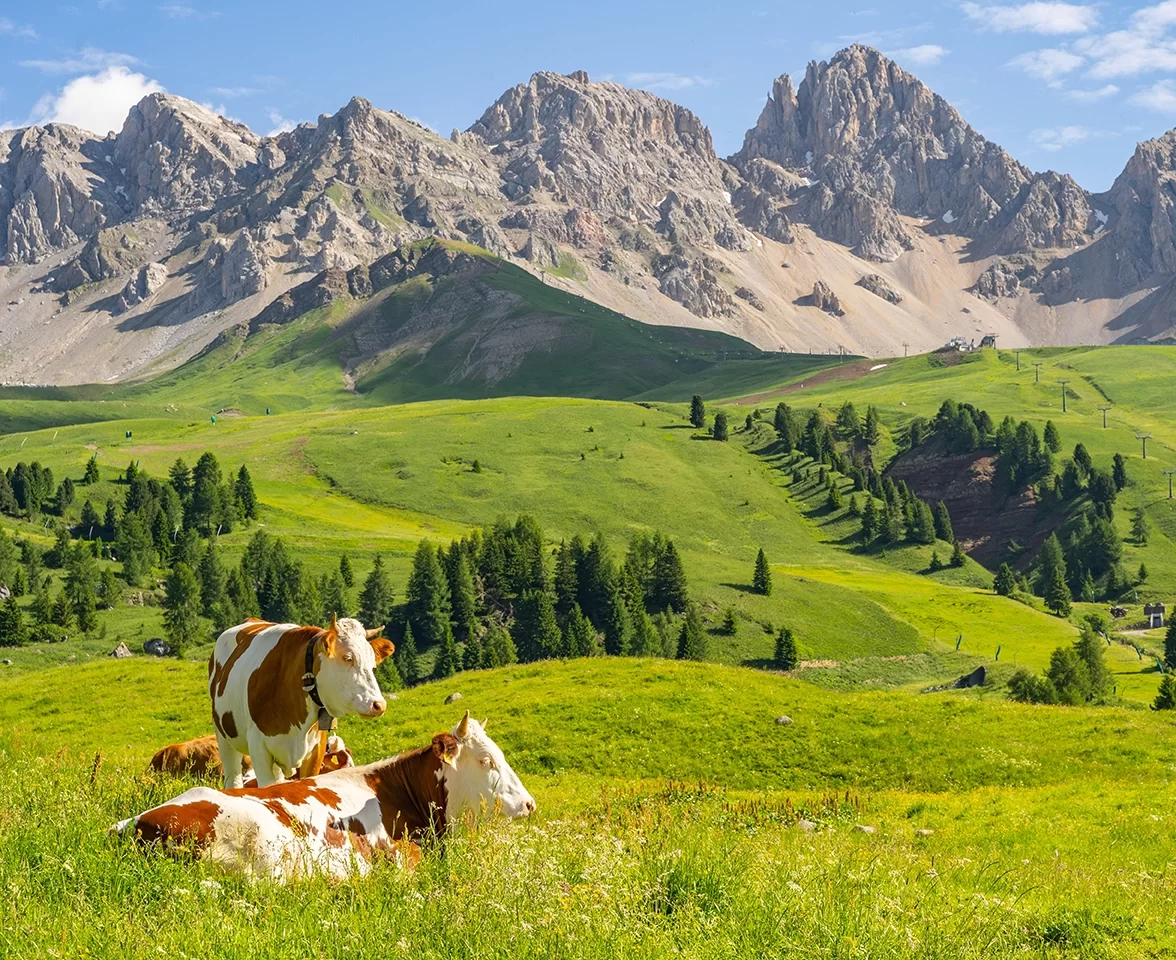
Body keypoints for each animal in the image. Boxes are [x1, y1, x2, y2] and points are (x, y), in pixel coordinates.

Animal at [209, 616, 392, 790]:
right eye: (348, 658)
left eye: (373, 664)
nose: (379, 704)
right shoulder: (258, 748)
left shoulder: (316, 751)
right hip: (223, 736)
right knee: (233, 780)